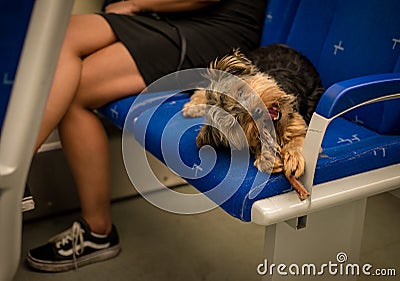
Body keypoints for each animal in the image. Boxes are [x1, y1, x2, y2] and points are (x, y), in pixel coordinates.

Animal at [183, 43, 324, 198]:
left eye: (240, 92)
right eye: (235, 120)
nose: (256, 111)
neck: (276, 127)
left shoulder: (299, 124)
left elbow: (298, 139)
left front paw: (293, 159)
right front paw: (266, 157)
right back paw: (193, 105)